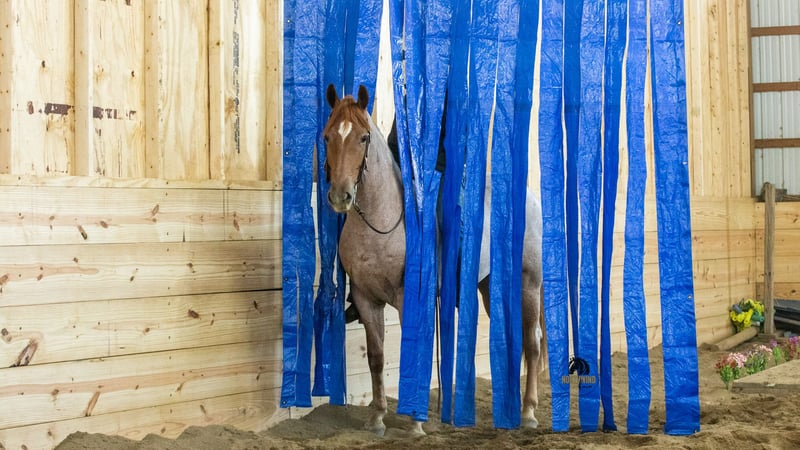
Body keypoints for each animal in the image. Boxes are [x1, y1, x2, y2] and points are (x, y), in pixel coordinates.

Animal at [322, 83, 543, 436]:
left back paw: (528, 412)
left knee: (532, 343)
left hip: (528, 284)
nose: (340, 196)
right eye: (328, 136)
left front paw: (415, 423)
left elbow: (415, 352)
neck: (382, 222)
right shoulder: (366, 298)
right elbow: (377, 357)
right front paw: (377, 418)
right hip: (491, 288)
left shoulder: (409, 299)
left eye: (363, 137)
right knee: (512, 340)